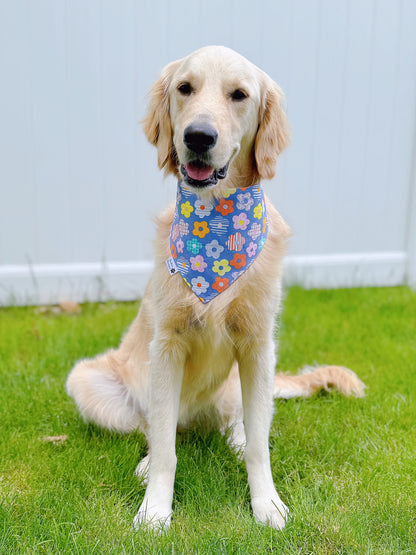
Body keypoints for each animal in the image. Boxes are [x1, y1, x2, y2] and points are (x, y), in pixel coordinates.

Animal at [66, 45, 366, 532]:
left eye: (239, 95)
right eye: (185, 88)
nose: (199, 136)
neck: (216, 222)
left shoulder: (259, 344)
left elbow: (261, 445)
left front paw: (266, 504)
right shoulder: (166, 345)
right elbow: (166, 450)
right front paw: (154, 510)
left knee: (240, 424)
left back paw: (237, 439)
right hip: (88, 380)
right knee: (158, 430)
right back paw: (149, 459)